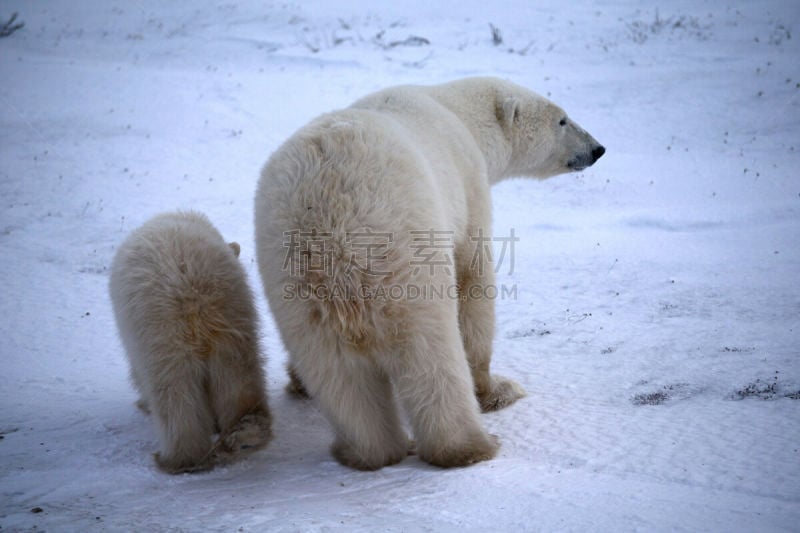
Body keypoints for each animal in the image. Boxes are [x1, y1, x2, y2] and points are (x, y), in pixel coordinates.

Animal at [109, 210, 272, 472]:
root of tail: (192, 295)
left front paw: (143, 403)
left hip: (161, 331)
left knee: (172, 391)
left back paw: (176, 459)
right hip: (232, 318)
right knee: (238, 374)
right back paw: (245, 434)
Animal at [253, 76, 604, 470]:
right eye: (562, 120)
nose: (598, 149)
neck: (457, 110)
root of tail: (329, 231)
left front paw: (296, 381)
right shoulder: (466, 184)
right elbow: (473, 279)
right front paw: (494, 389)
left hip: (294, 287)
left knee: (338, 376)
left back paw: (366, 451)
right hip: (404, 261)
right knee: (430, 356)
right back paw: (470, 445)